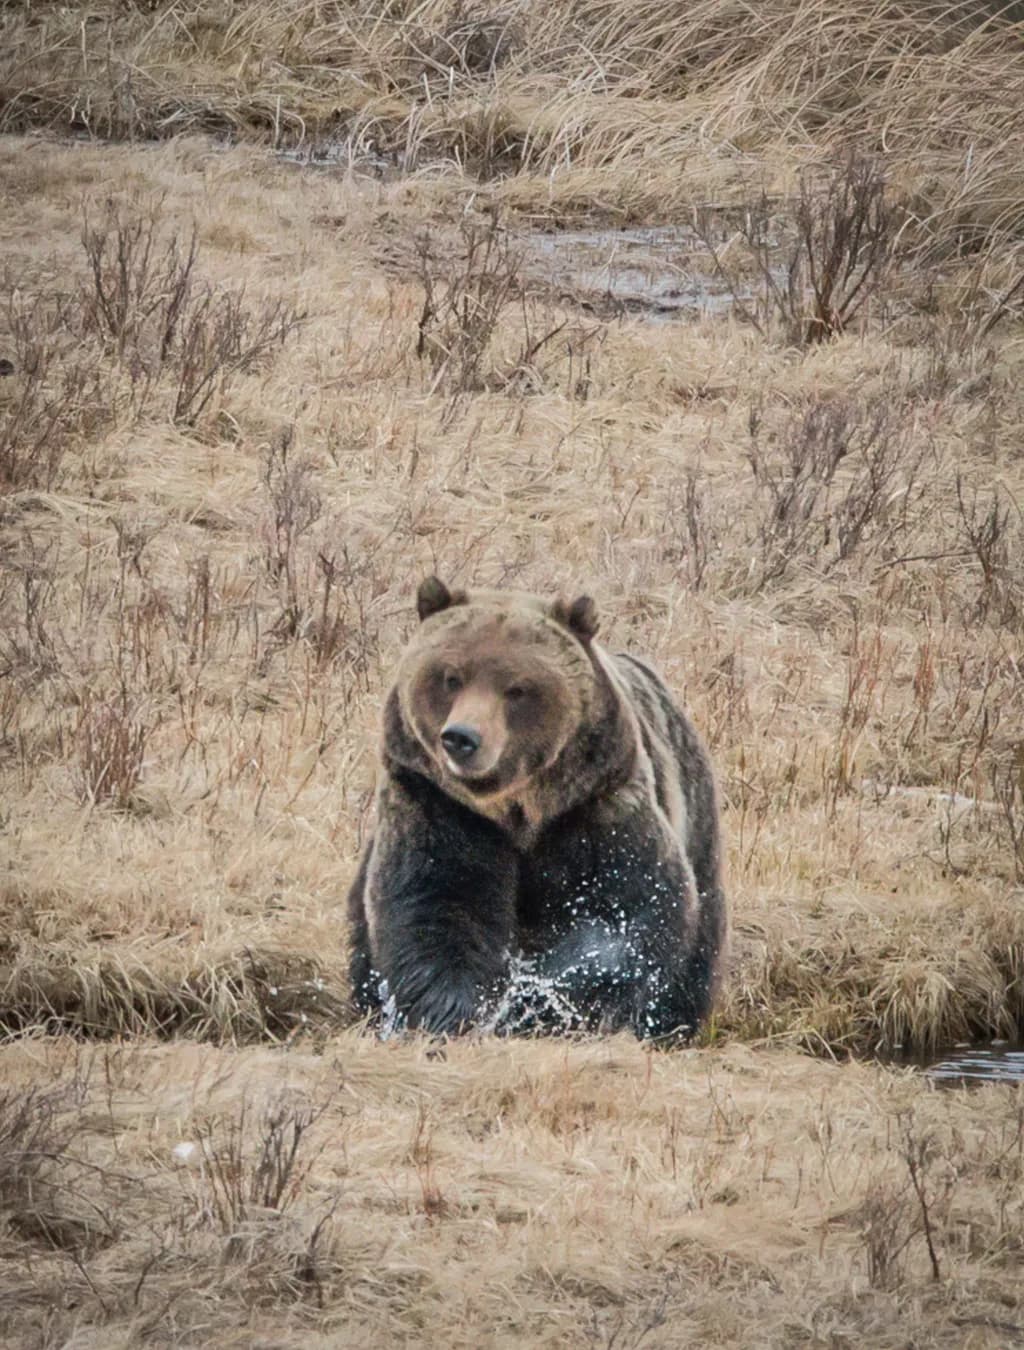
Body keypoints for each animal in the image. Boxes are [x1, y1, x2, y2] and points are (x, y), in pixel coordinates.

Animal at [346, 576, 726, 1041]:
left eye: (517, 688)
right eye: (451, 676)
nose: (461, 737)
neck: (519, 812)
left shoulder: (596, 808)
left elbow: (623, 912)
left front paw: (540, 1003)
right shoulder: (439, 805)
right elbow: (435, 905)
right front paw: (454, 1013)